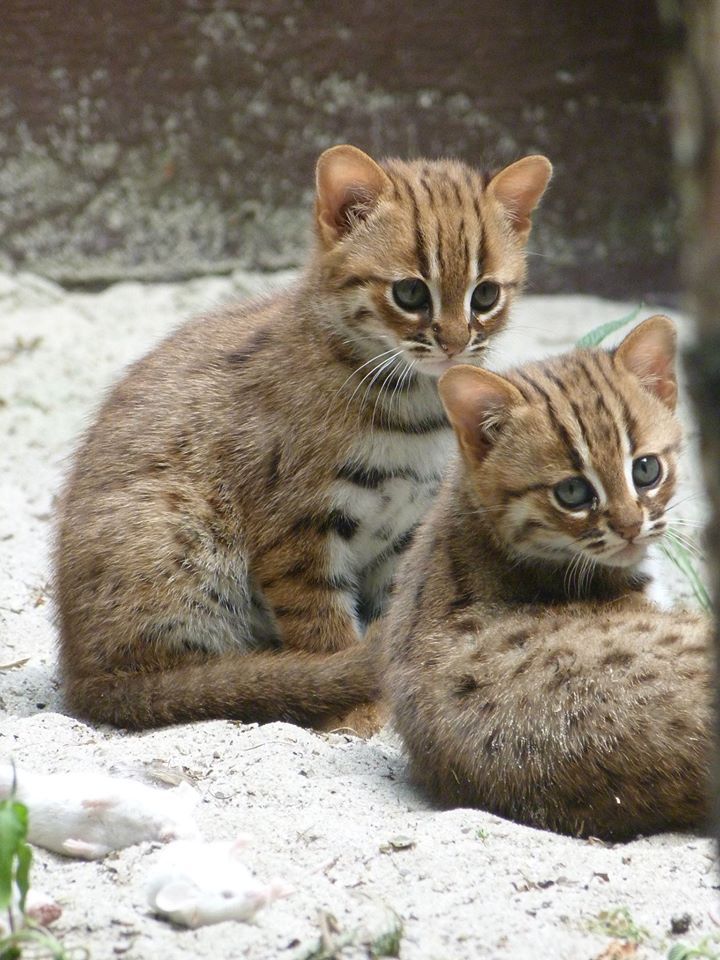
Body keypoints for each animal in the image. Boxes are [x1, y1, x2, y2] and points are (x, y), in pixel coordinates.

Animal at [57, 144, 552, 728]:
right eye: (410, 292)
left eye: (486, 295)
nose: (455, 346)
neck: (412, 410)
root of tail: (79, 674)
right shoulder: (296, 530)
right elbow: (325, 633)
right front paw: (356, 714)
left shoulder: (405, 530)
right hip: (181, 532)